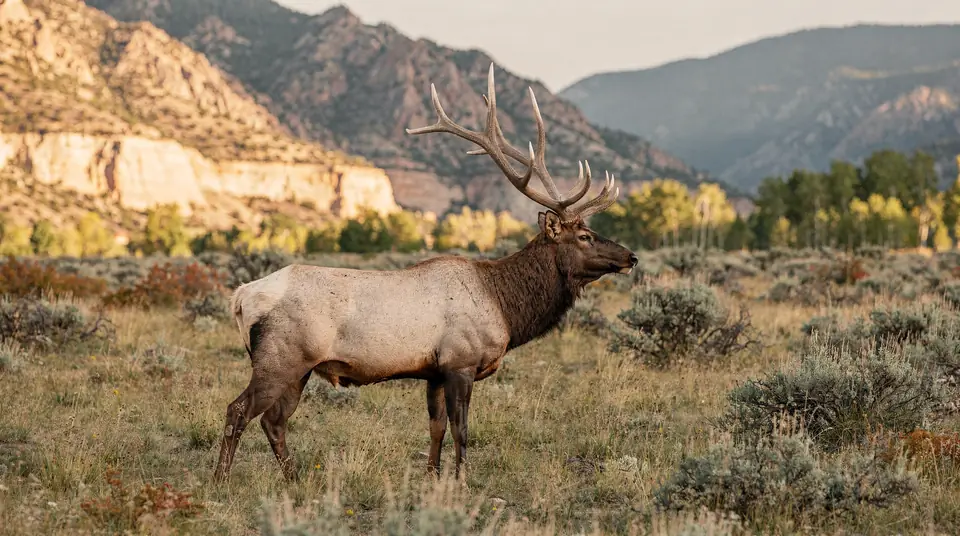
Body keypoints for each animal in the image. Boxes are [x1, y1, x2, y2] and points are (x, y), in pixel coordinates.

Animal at [212, 63, 638, 485]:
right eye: (584, 236)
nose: (631, 256)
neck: (505, 308)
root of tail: (240, 296)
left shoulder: (433, 372)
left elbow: (436, 428)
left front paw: (432, 477)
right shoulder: (460, 362)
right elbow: (462, 430)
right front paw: (461, 482)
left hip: (298, 367)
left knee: (273, 420)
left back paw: (295, 479)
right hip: (281, 357)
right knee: (239, 409)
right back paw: (222, 480)